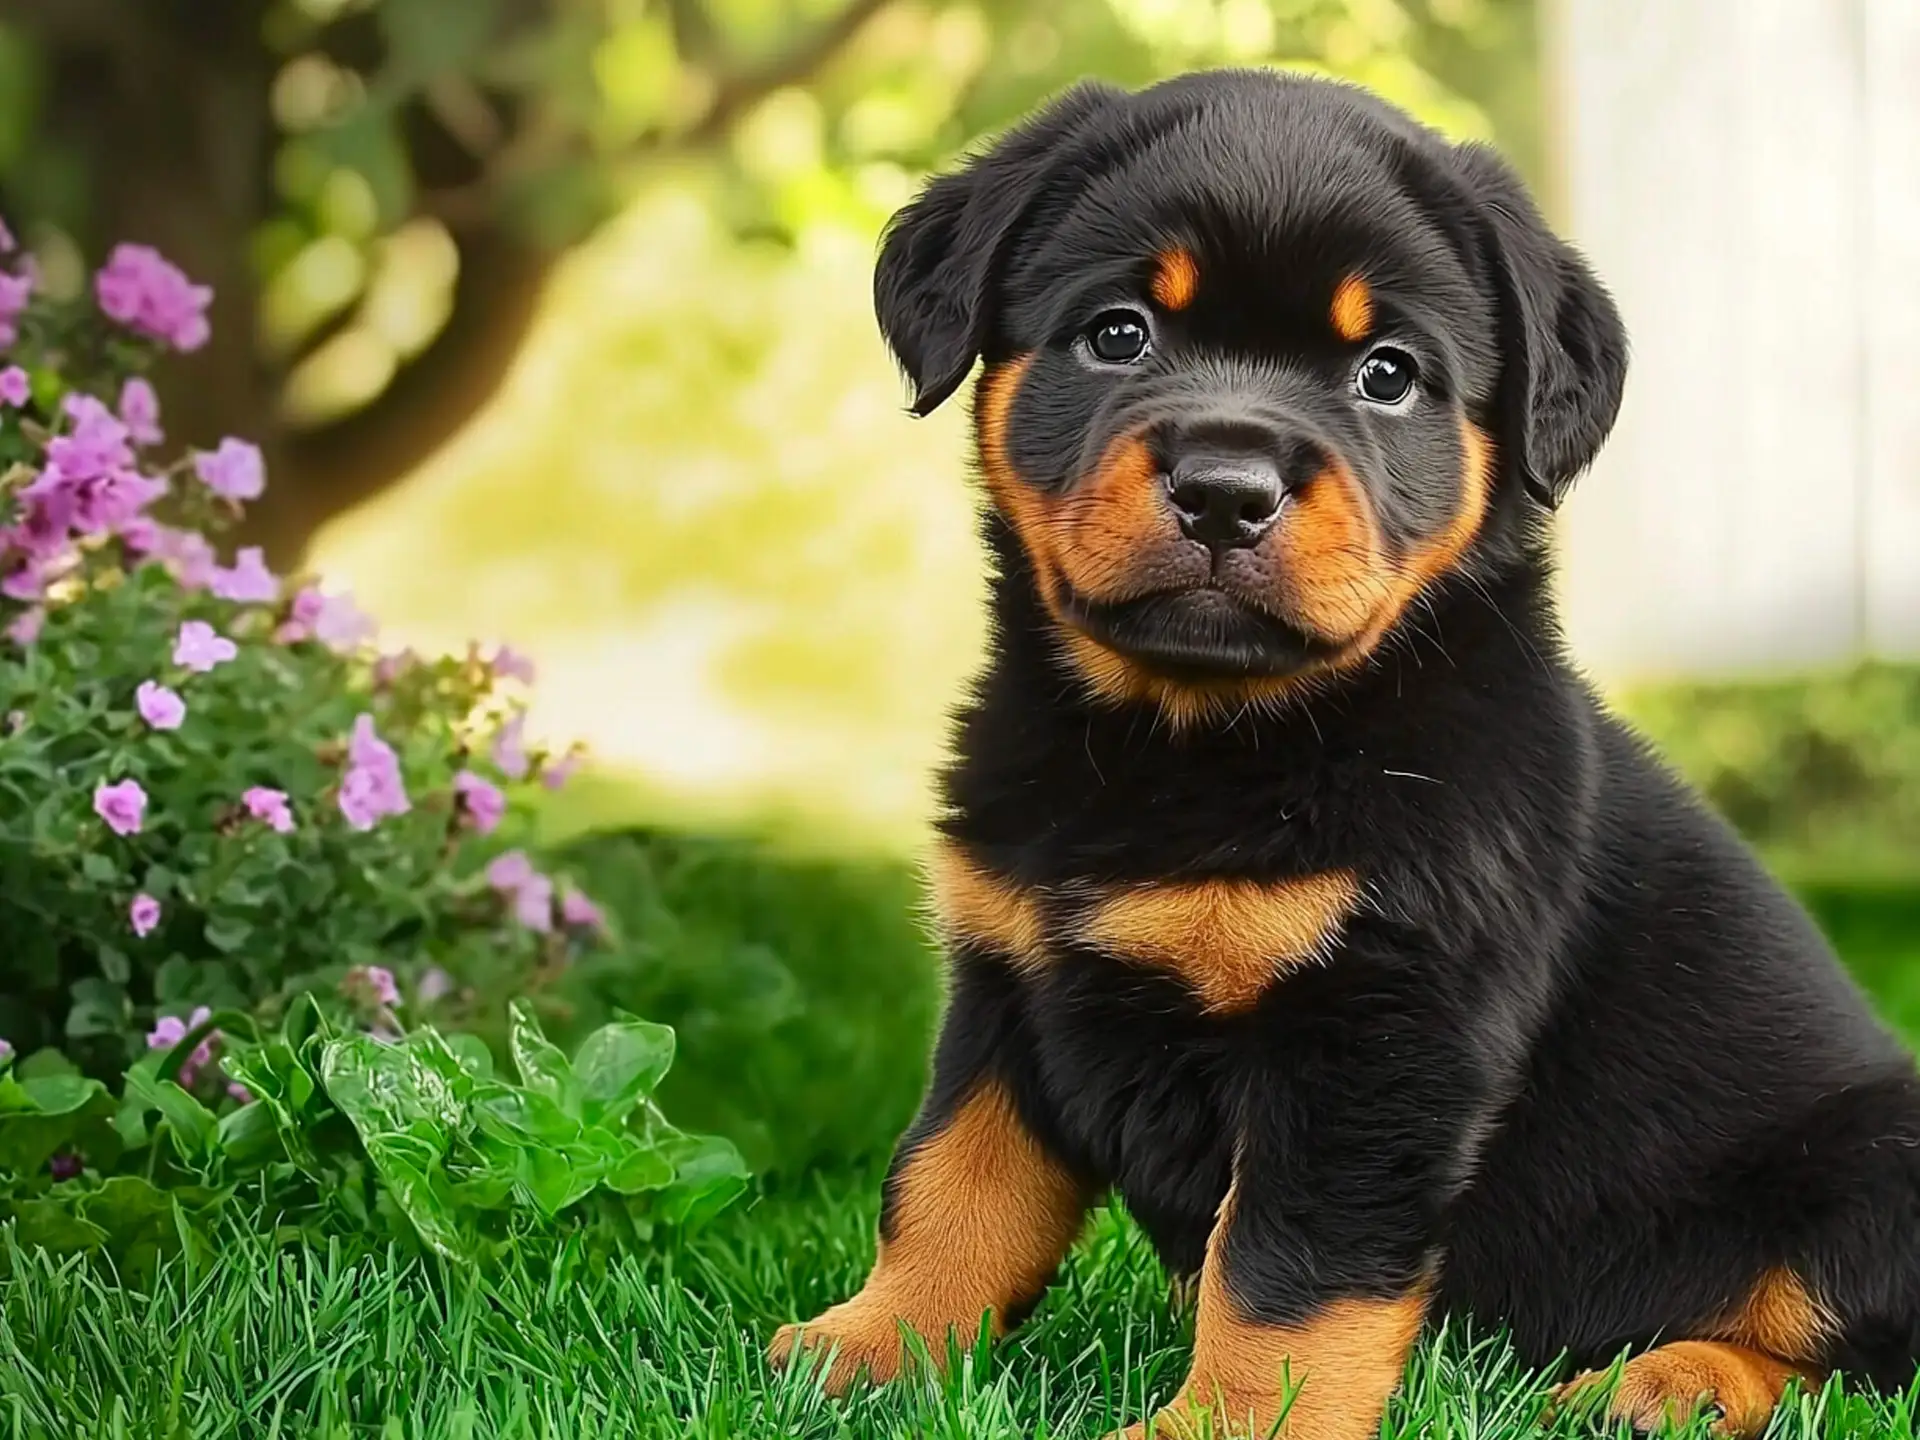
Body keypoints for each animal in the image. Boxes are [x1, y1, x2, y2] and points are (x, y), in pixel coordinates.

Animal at [768, 70, 1920, 1440]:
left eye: (1387, 374)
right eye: (1118, 333)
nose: (1226, 491)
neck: (1189, 742)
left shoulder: (1378, 1035)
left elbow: (1283, 1276)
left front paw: (1219, 1427)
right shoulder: (1011, 983)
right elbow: (950, 1184)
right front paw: (868, 1350)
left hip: (1876, 1159)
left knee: (1849, 1349)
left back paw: (1665, 1381)